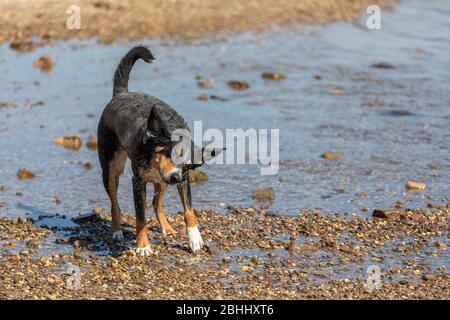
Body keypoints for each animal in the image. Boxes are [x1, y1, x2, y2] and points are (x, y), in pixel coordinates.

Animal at [97, 46, 221, 256]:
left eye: (188, 167)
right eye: (174, 153)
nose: (175, 177)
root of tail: (121, 93)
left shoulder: (183, 181)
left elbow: (189, 210)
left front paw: (195, 238)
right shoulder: (138, 182)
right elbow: (140, 217)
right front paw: (143, 246)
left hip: (160, 181)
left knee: (156, 203)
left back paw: (167, 228)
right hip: (111, 169)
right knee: (115, 204)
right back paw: (116, 231)